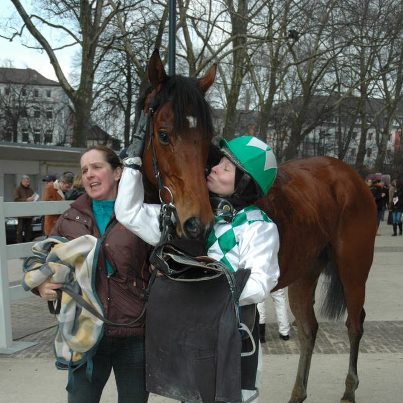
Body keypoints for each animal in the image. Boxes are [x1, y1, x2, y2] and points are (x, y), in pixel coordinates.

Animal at [140, 49, 378, 403]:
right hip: (305, 272)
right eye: (164, 134)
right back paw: (298, 393)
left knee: (355, 323)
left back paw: (349, 390)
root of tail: (352, 176)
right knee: (309, 329)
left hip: (353, 268)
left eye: (205, 138)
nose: (197, 222)